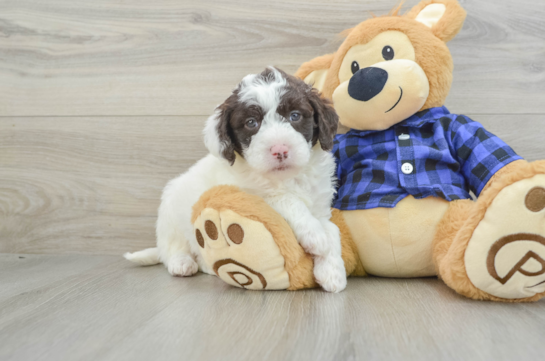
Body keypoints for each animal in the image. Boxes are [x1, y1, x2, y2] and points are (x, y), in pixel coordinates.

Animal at [124, 67, 346, 292]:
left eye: (295, 116)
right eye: (251, 123)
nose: (280, 150)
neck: (286, 178)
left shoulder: (320, 206)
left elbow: (333, 230)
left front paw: (332, 272)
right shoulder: (246, 194)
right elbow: (286, 199)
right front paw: (316, 236)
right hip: (170, 215)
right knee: (171, 248)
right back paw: (182, 263)